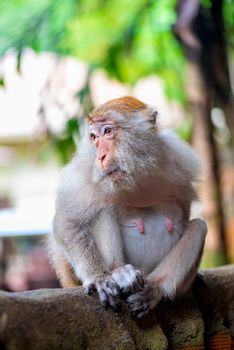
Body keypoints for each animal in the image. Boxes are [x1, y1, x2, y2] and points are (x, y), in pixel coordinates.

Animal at [49, 95, 207, 318]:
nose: (100, 157)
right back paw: (118, 272)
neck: (135, 173)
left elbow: (185, 216)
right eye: (93, 137)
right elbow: (67, 223)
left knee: (198, 226)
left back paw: (153, 289)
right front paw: (99, 278)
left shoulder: (181, 162)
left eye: (108, 131)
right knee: (102, 211)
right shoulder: (84, 173)